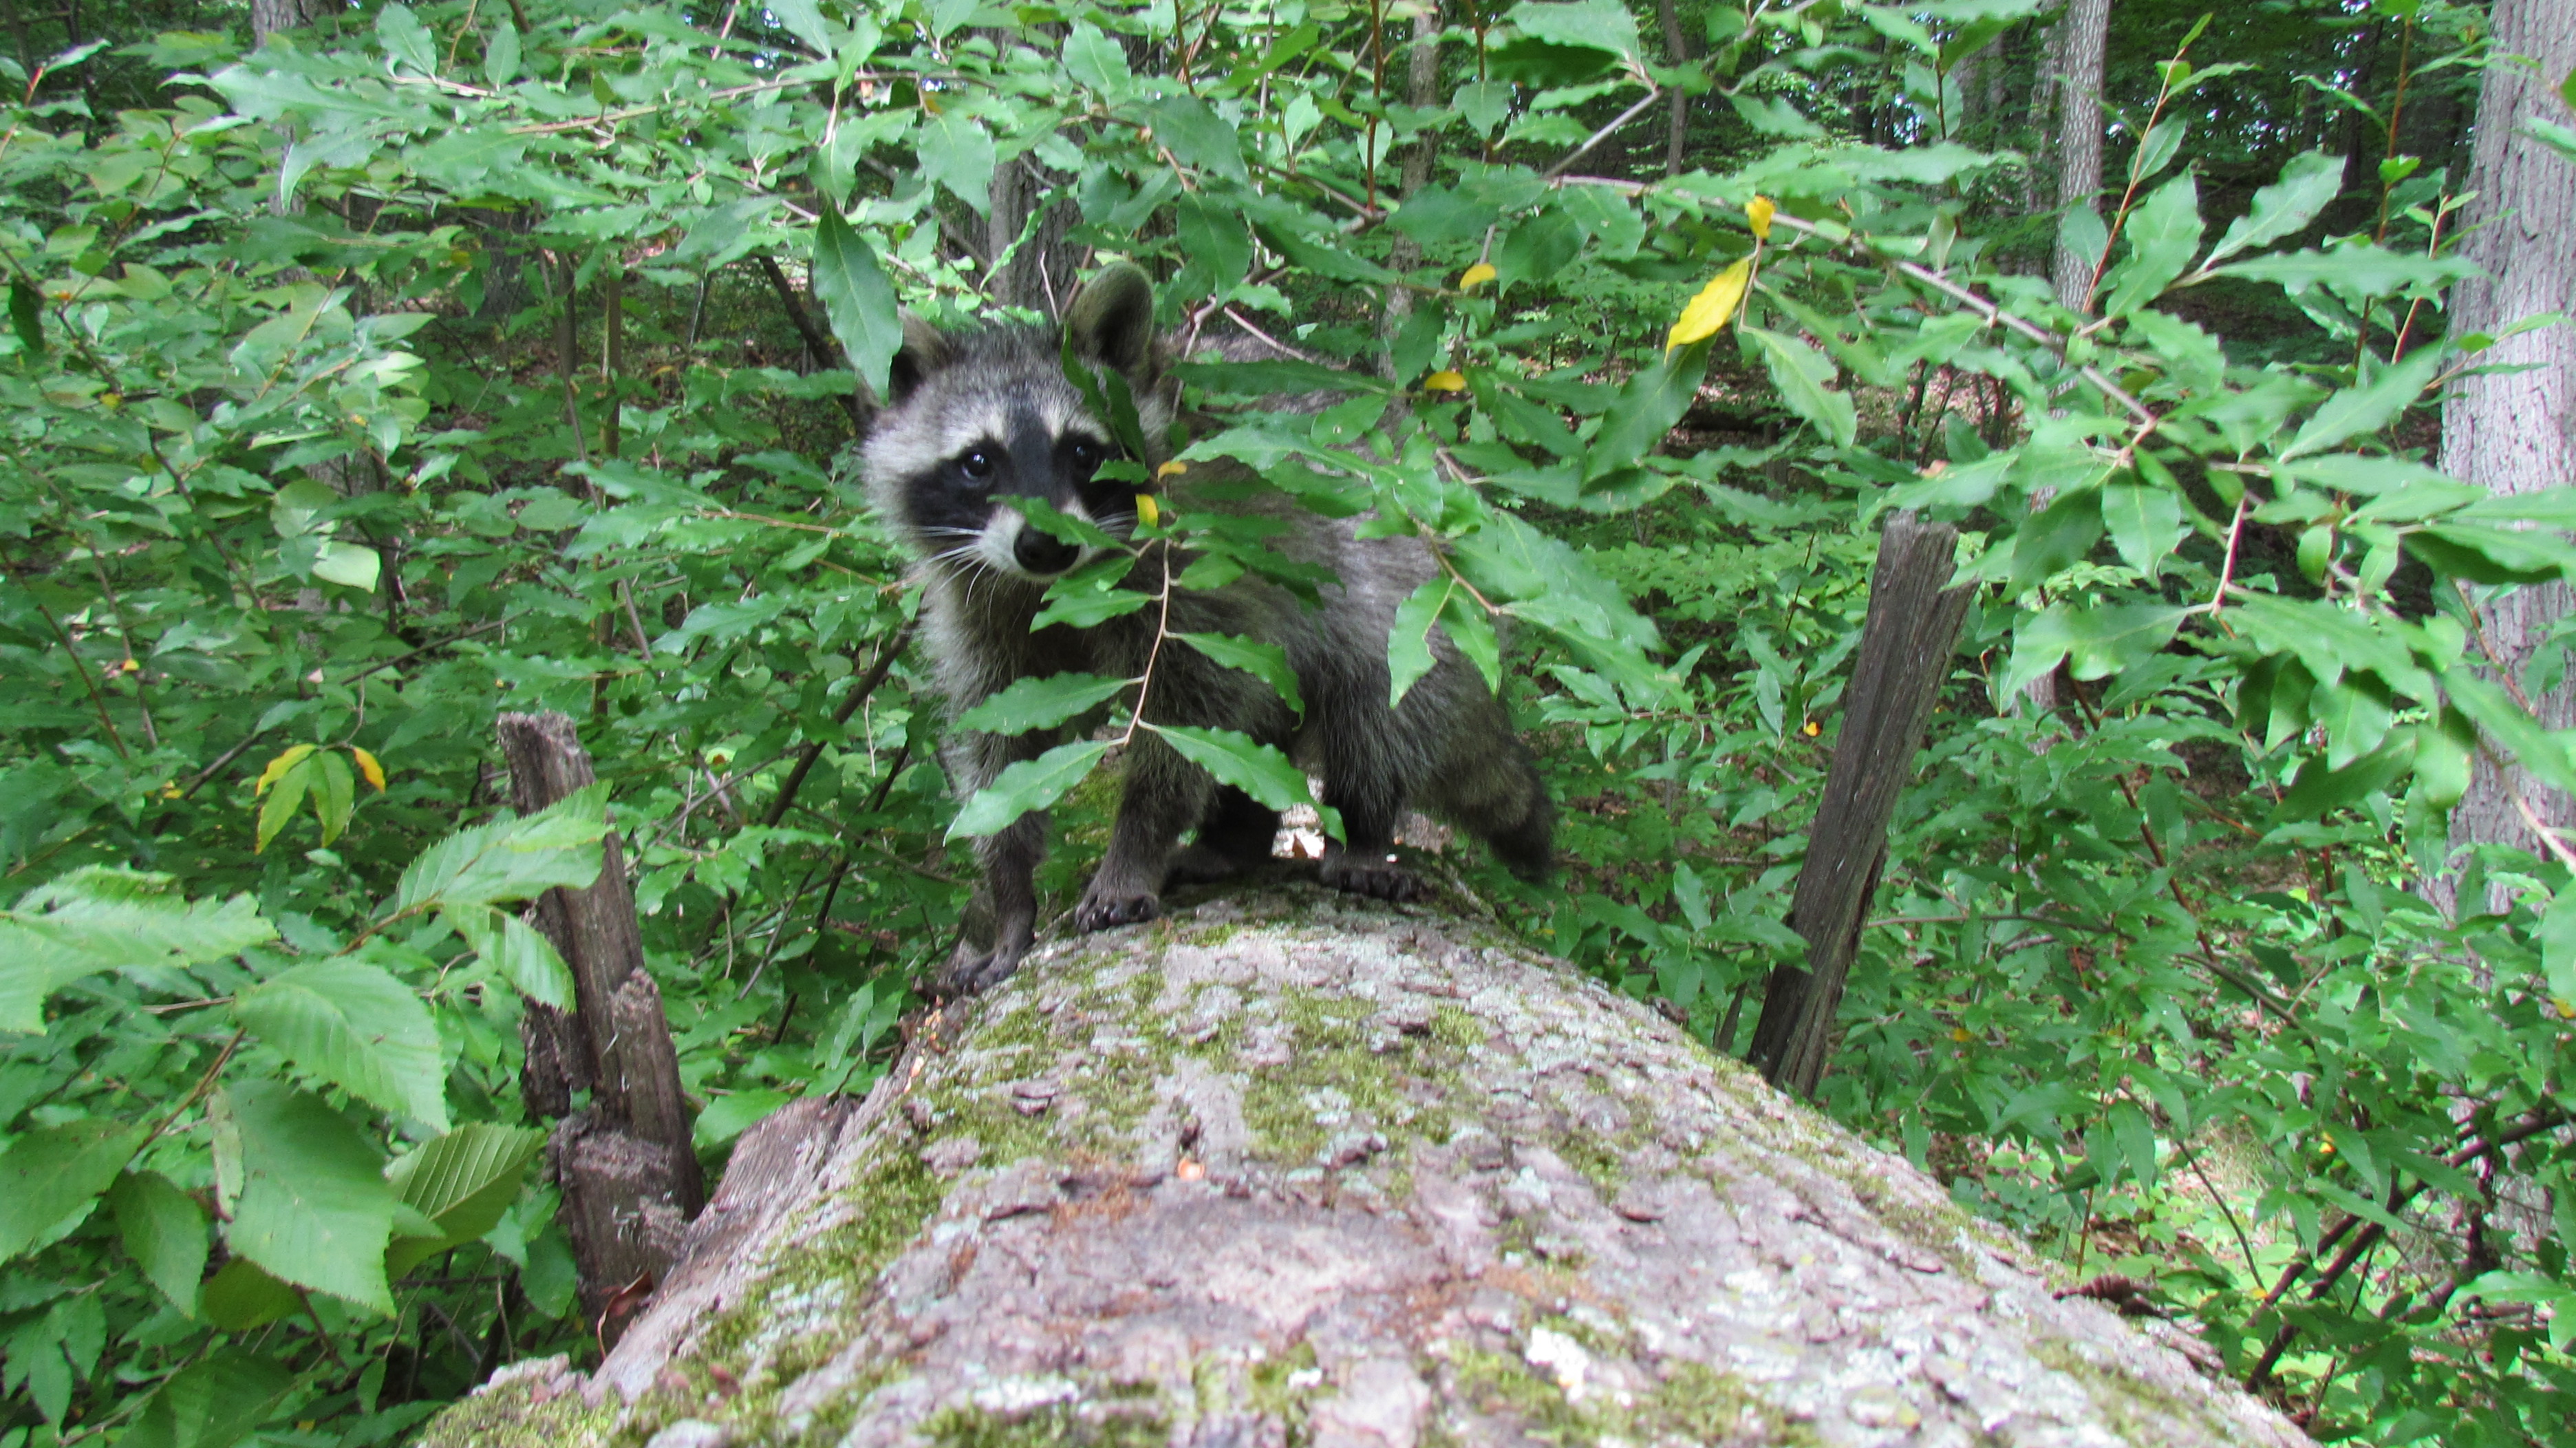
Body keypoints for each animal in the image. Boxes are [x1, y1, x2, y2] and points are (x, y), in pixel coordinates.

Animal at [863, 263, 1552, 996]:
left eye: (1081, 452)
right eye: (977, 462)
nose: (1045, 546)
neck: (1048, 587)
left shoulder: (1195, 571)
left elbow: (1184, 719)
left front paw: (1133, 850)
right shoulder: (980, 608)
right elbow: (1000, 740)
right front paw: (1008, 898)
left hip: (1414, 596)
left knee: (1374, 711)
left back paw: (1361, 836)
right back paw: (1237, 840)